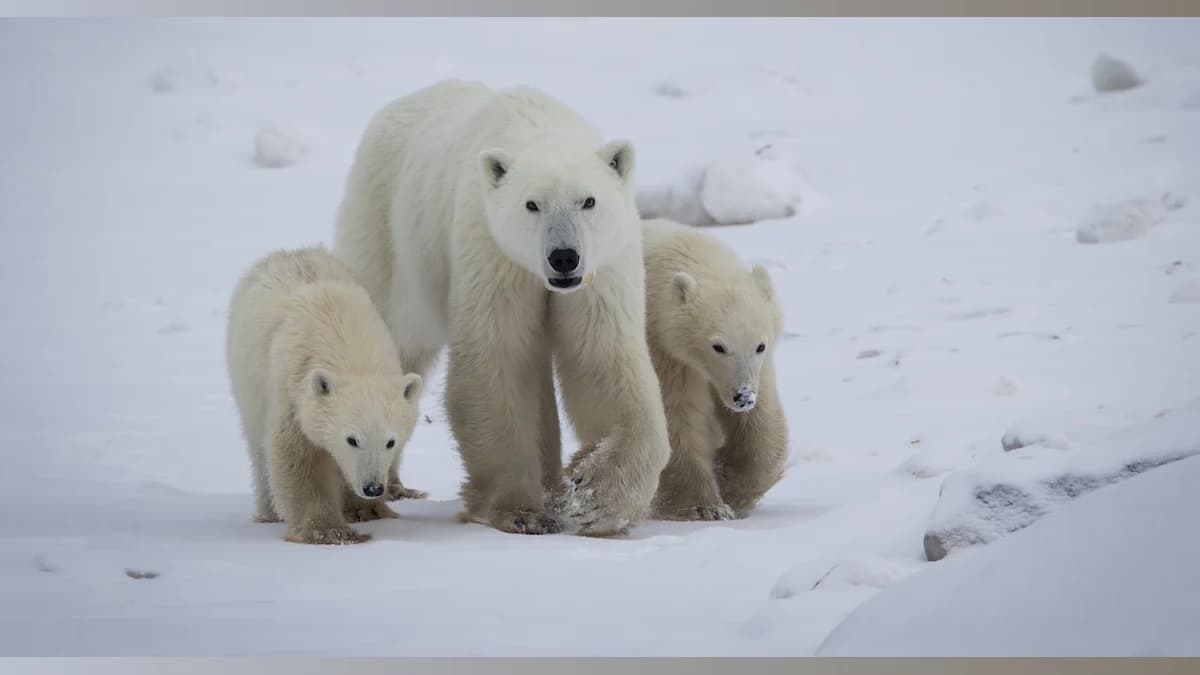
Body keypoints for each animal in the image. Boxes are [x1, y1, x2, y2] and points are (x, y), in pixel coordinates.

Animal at [225, 246, 424, 545]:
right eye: (352, 439)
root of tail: (290, 252)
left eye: (391, 442)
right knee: (258, 449)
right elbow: (300, 457)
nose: (373, 487)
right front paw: (329, 531)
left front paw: (368, 510)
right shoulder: (293, 393)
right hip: (247, 384)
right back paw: (268, 513)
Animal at [331, 79, 671, 537]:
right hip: (387, 234)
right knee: (393, 341)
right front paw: (520, 511)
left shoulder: (602, 268)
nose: (564, 257)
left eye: (588, 201)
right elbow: (498, 360)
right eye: (532, 204)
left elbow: (601, 358)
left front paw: (594, 498)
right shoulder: (494, 252)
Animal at [569, 218, 789, 521]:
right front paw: (706, 507)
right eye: (718, 346)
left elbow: (762, 422)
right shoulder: (664, 349)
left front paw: (732, 483)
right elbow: (677, 417)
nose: (743, 397)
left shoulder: (758, 370)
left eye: (760, 345)